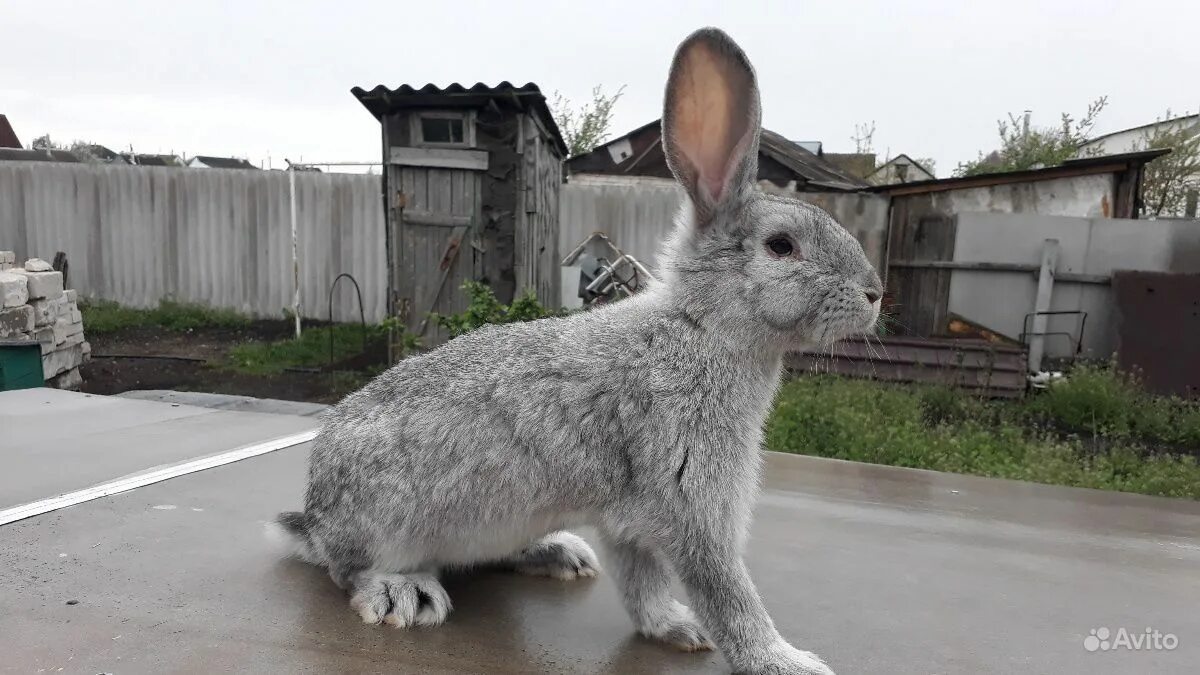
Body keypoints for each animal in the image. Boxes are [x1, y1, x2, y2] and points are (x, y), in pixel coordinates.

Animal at [276, 26, 888, 672]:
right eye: (781, 246)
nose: (875, 293)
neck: (699, 326)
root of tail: (315, 517)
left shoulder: (632, 518)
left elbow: (643, 583)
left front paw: (676, 627)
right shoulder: (687, 502)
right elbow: (726, 593)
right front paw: (783, 660)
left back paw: (558, 553)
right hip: (389, 524)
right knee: (348, 571)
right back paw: (402, 594)